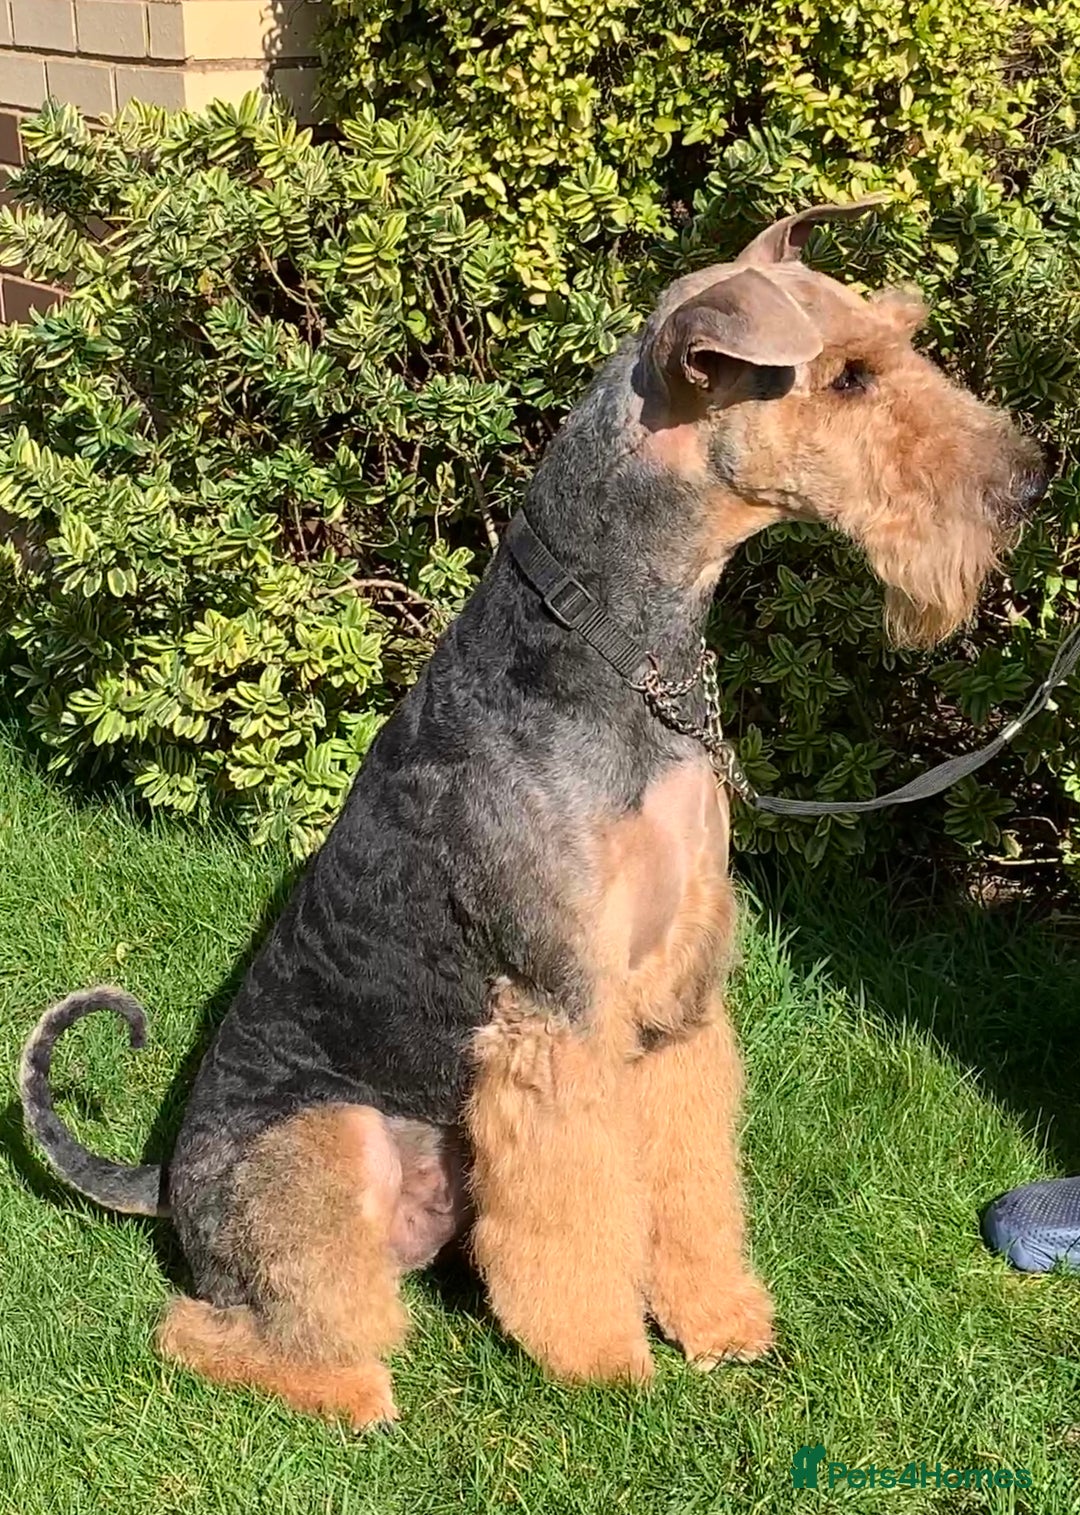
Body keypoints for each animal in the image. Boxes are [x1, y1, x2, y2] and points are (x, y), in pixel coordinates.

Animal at [20, 200, 1045, 1429]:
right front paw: (605, 1364)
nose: (1034, 480)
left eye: (901, 337)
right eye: (846, 376)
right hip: (327, 1153)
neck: (620, 649)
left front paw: (722, 1326)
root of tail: (165, 1178)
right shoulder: (560, 1013)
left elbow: (691, 1183)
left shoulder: (680, 998)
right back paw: (355, 1393)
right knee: (220, 1327)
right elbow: (576, 1212)